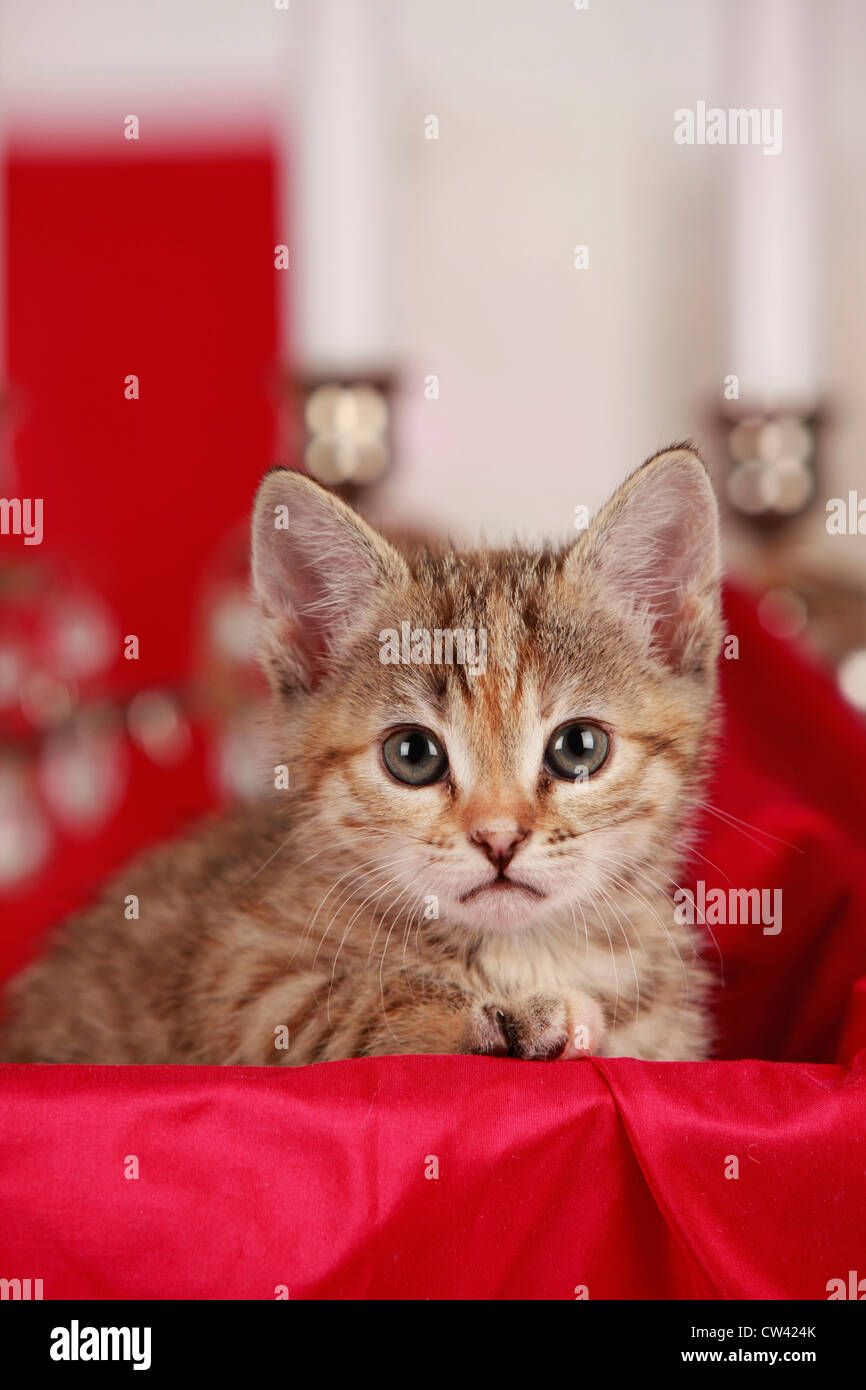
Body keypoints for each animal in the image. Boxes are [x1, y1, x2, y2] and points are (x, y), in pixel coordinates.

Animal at [3, 444, 722, 1061]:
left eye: (579, 747)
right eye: (413, 755)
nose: (498, 838)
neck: (522, 951)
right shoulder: (242, 981)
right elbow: (355, 1005)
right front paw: (509, 1018)